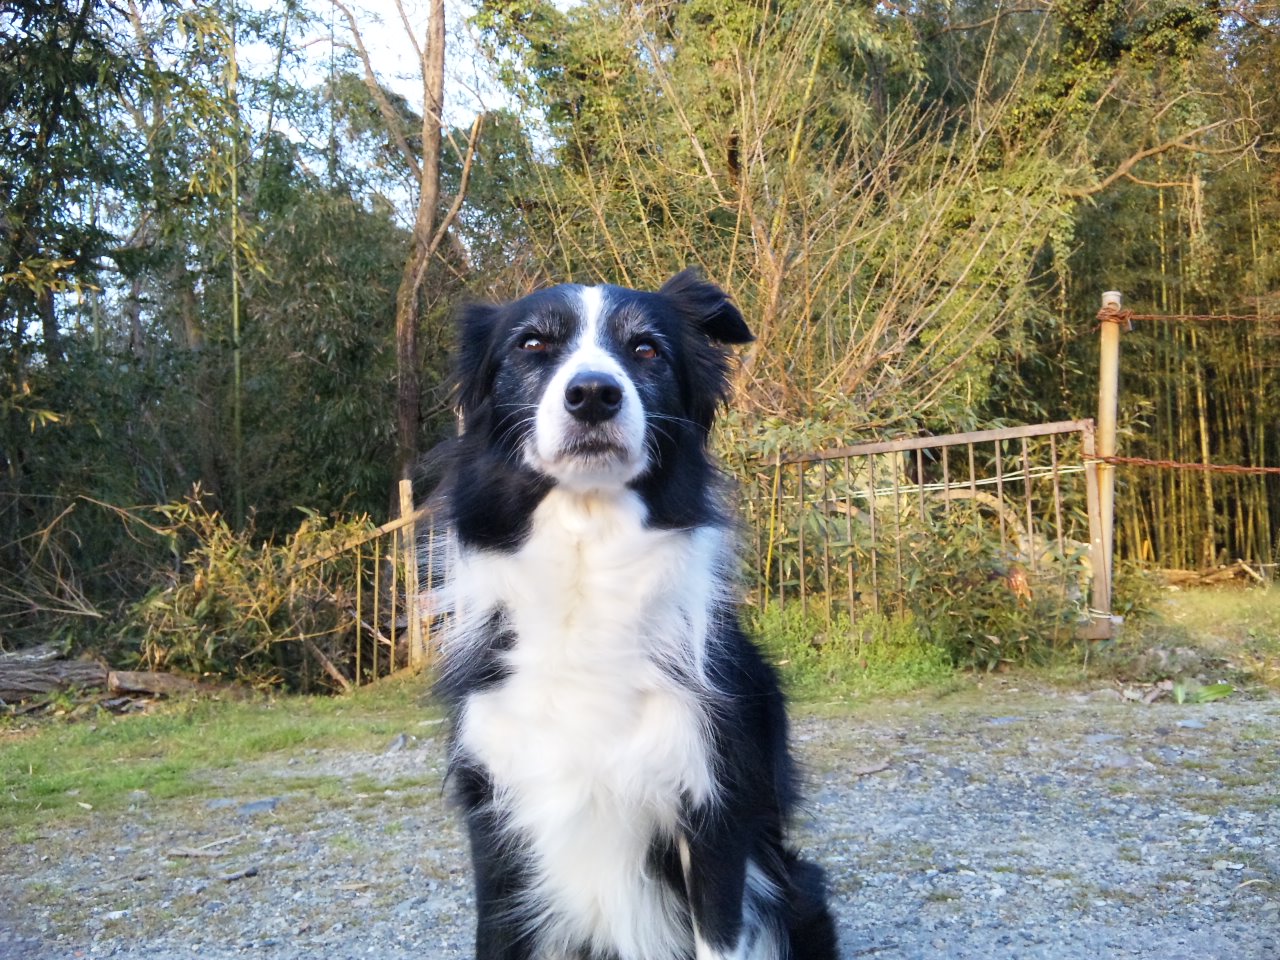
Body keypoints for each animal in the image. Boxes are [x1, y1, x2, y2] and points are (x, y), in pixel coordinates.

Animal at [430, 269, 837, 960]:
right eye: (532, 343)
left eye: (646, 350)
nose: (594, 394)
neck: (589, 564)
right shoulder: (494, 814)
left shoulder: (714, 816)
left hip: (796, 888)